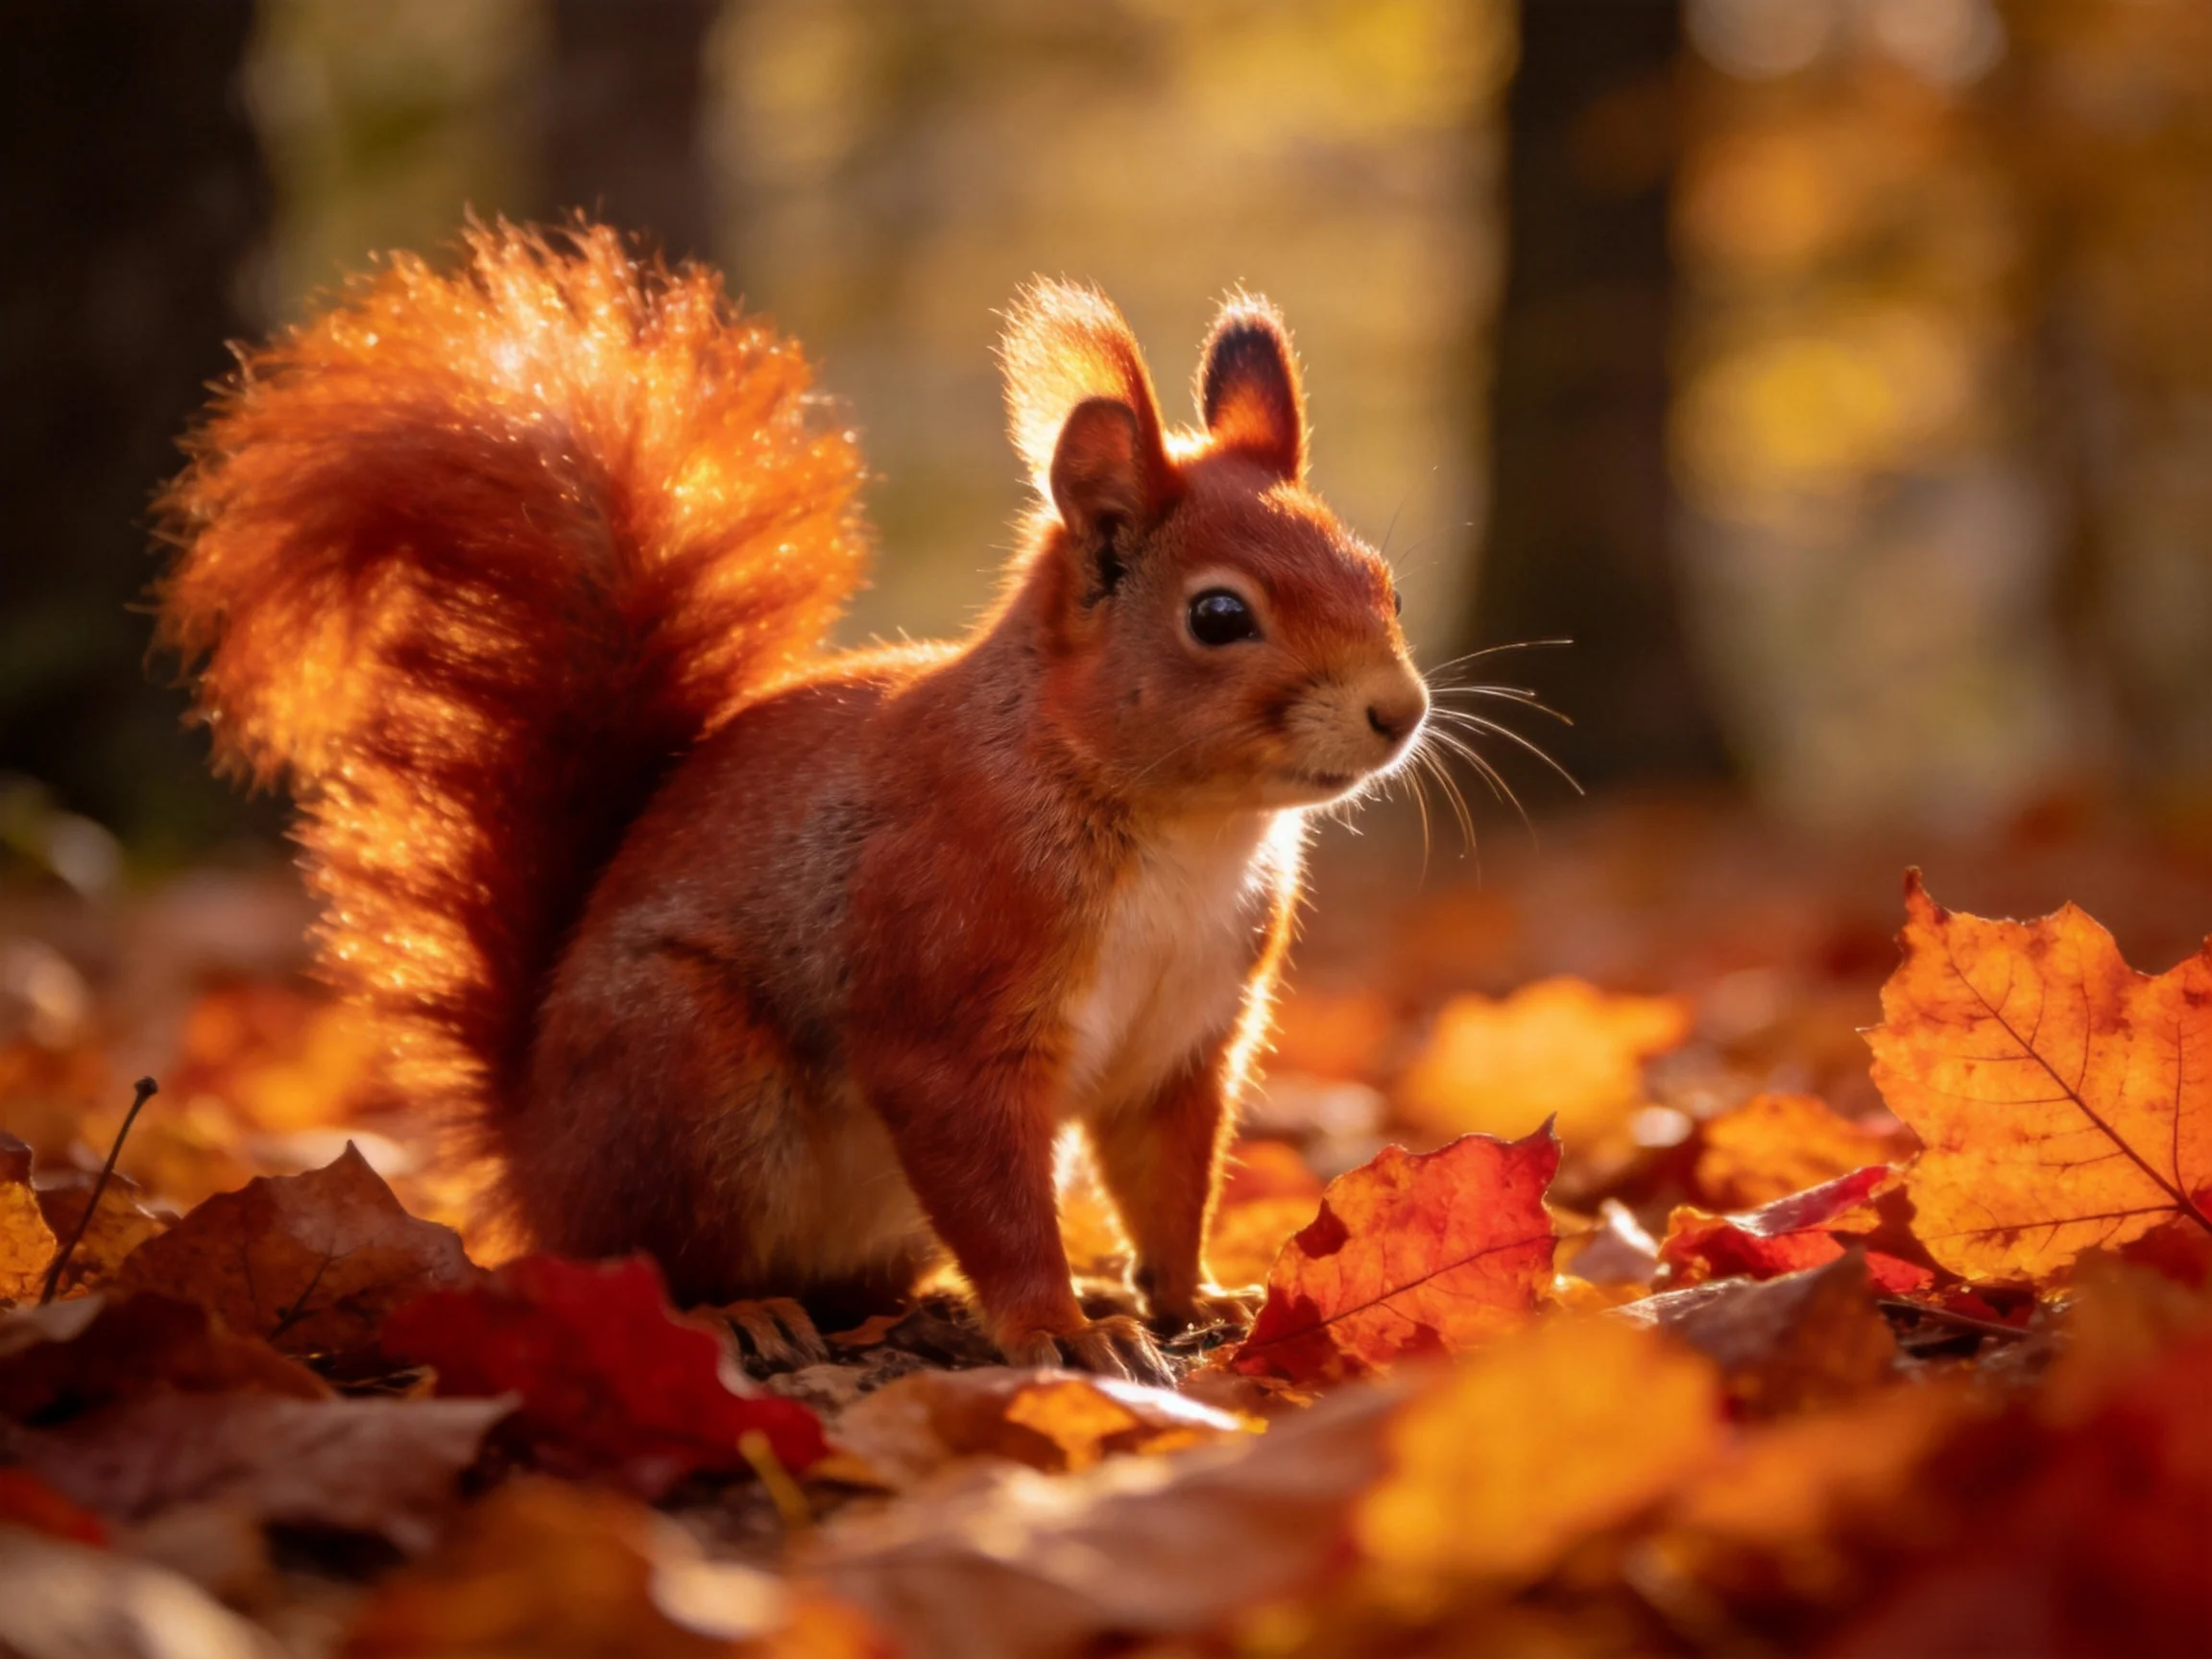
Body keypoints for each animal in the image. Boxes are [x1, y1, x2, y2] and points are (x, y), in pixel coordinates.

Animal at [157, 223, 1428, 1381]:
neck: (1184, 829)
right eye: (1218, 616)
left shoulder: (1189, 1042)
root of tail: (530, 1159)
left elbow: (1169, 1180)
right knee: (653, 1260)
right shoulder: (948, 997)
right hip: (689, 1080)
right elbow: (993, 1190)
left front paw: (1188, 1295)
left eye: (1386, 583)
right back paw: (739, 1316)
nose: (1400, 710)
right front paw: (1061, 1327)